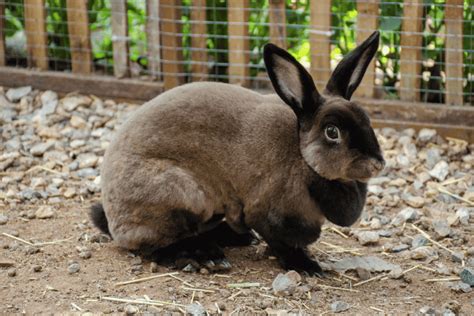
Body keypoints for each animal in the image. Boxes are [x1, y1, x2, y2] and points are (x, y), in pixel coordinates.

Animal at [90, 30, 384, 276]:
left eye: (367, 119)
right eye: (332, 132)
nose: (378, 164)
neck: (303, 157)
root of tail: (114, 217)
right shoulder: (266, 214)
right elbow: (283, 244)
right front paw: (307, 266)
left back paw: (237, 239)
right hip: (180, 192)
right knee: (155, 244)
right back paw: (205, 256)